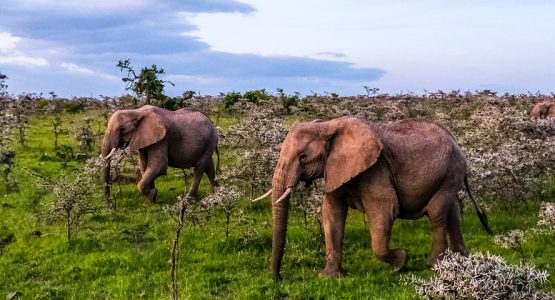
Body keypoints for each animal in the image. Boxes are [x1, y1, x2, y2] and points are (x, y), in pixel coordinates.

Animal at [254, 116, 494, 280]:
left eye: (303, 157)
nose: (278, 278)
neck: (329, 125)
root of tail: (456, 142)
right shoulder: (335, 170)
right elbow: (332, 213)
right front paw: (330, 277)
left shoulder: (376, 169)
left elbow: (385, 210)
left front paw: (400, 263)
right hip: (449, 174)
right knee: (452, 211)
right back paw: (462, 258)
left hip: (449, 171)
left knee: (437, 213)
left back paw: (434, 264)